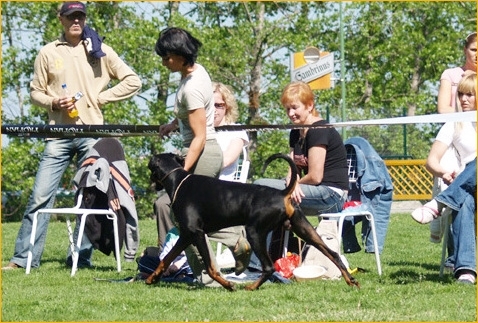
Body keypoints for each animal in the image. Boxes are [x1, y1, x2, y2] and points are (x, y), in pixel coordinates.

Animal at [146, 153, 358, 292]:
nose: (151, 184)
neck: (179, 181)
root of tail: (282, 193)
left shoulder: (196, 233)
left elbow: (211, 268)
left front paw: (229, 285)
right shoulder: (186, 235)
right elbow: (165, 259)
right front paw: (151, 278)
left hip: (254, 232)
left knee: (269, 267)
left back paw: (251, 286)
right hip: (303, 228)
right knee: (332, 253)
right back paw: (351, 280)